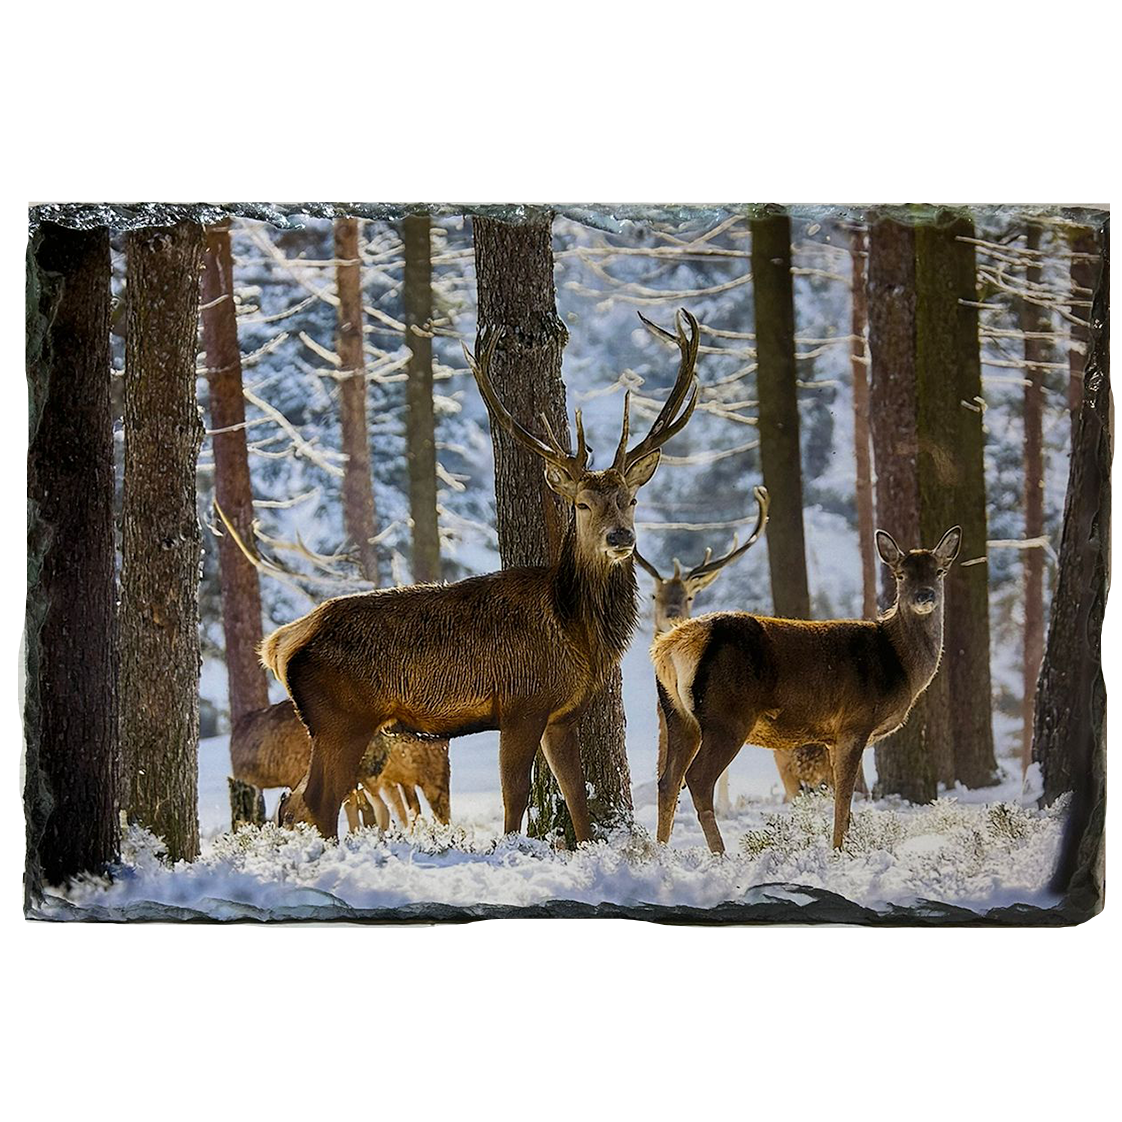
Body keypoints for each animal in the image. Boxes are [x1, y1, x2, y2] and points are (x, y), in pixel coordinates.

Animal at [260, 309, 701, 840]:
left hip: (329, 723)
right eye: (581, 504)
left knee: (294, 801)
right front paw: (512, 847)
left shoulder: (560, 713)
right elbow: (515, 795)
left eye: (631, 499)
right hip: (342, 719)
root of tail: (279, 643)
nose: (621, 537)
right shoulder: (520, 702)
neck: (576, 630)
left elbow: (576, 797)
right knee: (318, 799)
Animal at [651, 525, 962, 853]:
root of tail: (669, 646)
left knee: (668, 780)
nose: (924, 595)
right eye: (901, 574)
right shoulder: (855, 723)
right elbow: (845, 796)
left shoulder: (833, 738)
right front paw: (839, 849)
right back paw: (720, 853)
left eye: (939, 571)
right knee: (697, 778)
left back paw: (661, 851)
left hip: (677, 714)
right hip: (727, 716)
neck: (897, 663)